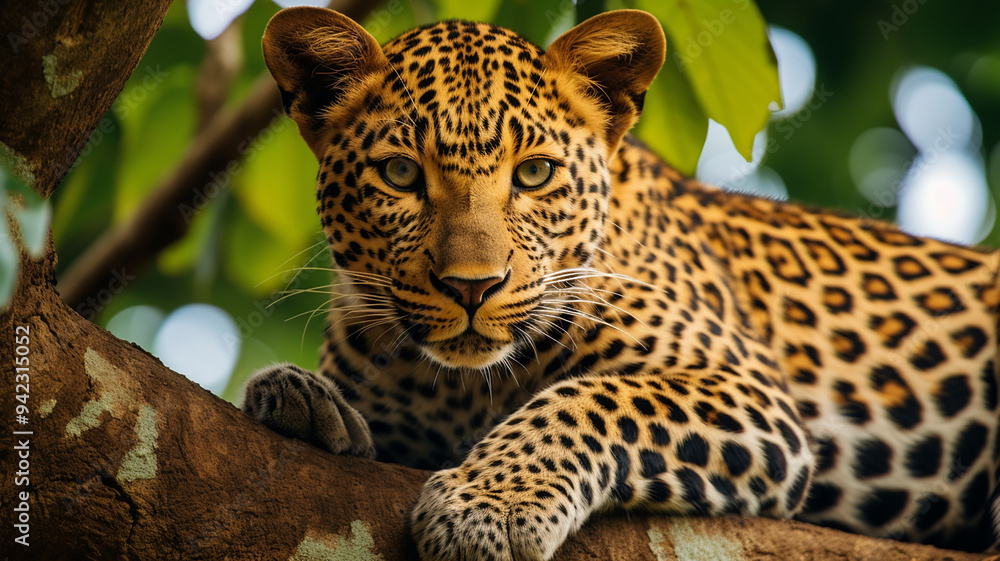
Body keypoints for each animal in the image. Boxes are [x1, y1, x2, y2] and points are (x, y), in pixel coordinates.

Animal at [240, 6, 1000, 560]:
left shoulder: (746, 389)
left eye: (534, 173)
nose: (473, 287)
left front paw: (490, 506)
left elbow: (591, 397)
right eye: (399, 174)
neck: (463, 390)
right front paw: (297, 394)